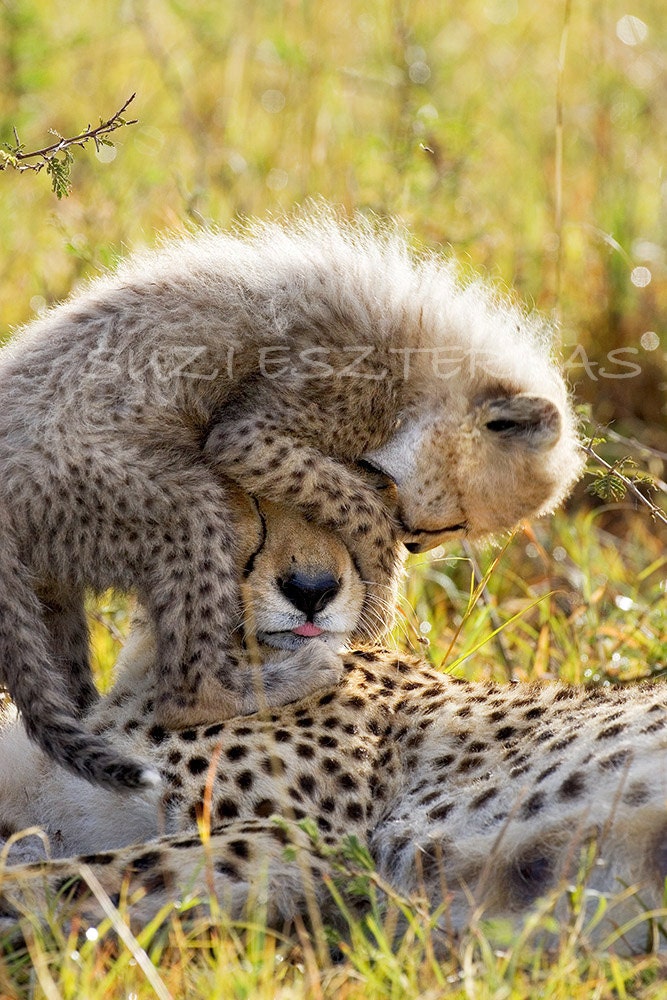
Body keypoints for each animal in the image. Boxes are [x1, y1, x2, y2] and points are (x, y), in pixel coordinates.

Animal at [0, 206, 584, 791]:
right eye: (457, 523)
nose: (418, 542)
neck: (425, 351)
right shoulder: (261, 427)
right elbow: (352, 501)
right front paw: (380, 579)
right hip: (162, 503)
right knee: (183, 694)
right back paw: (285, 677)